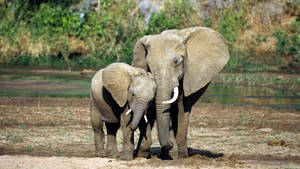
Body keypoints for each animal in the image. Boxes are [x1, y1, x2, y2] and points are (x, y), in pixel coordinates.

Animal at [132, 26, 230, 158]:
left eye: (177, 61)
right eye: (148, 65)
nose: (169, 144)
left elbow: (181, 107)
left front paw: (177, 155)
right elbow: (151, 108)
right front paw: (142, 154)